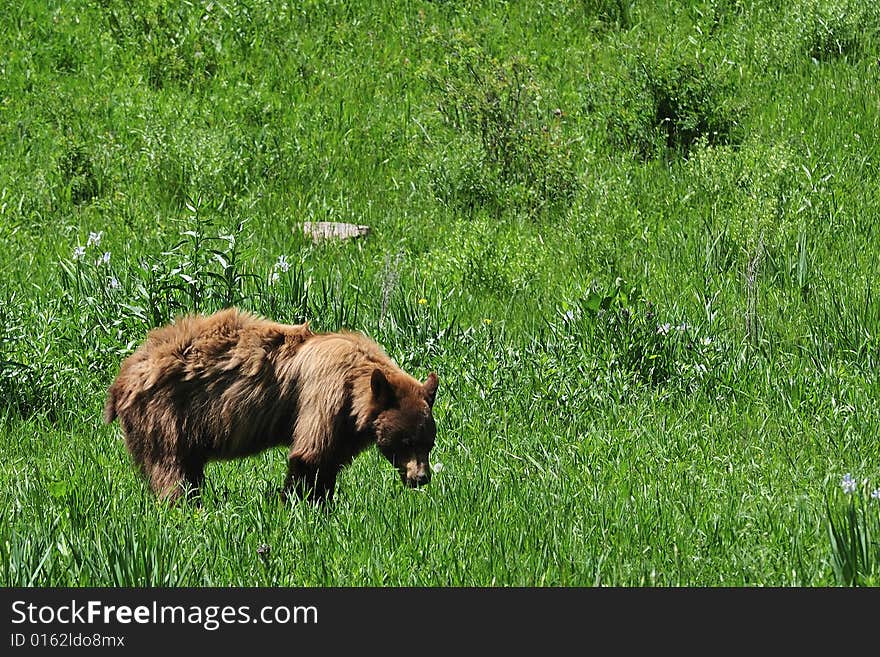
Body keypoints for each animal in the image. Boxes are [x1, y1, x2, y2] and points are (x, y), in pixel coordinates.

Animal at [103, 308, 436, 502]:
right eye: (406, 441)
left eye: (429, 442)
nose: (421, 478)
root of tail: (124, 376)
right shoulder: (323, 396)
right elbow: (311, 455)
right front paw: (300, 501)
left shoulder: (344, 424)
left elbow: (331, 459)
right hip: (165, 414)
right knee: (170, 466)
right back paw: (182, 504)